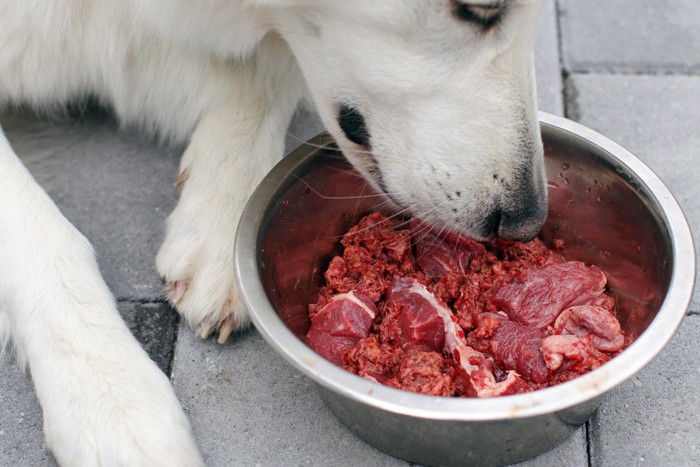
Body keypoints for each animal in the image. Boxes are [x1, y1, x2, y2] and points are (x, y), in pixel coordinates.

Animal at [0, 1, 548, 466]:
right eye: (479, 9)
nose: (527, 220)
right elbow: (40, 232)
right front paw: (112, 398)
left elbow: (267, 65)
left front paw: (220, 228)